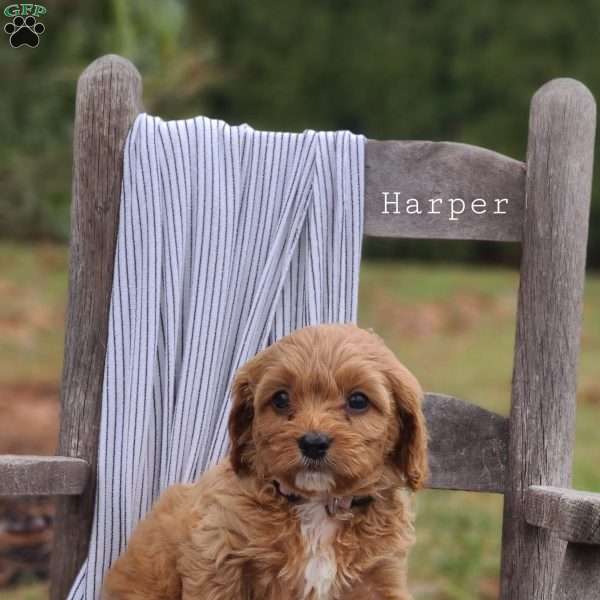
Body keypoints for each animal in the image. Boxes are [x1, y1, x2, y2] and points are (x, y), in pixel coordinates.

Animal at [105, 326, 428, 600]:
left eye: (358, 401)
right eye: (281, 398)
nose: (313, 443)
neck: (317, 505)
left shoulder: (381, 576)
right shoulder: (216, 555)